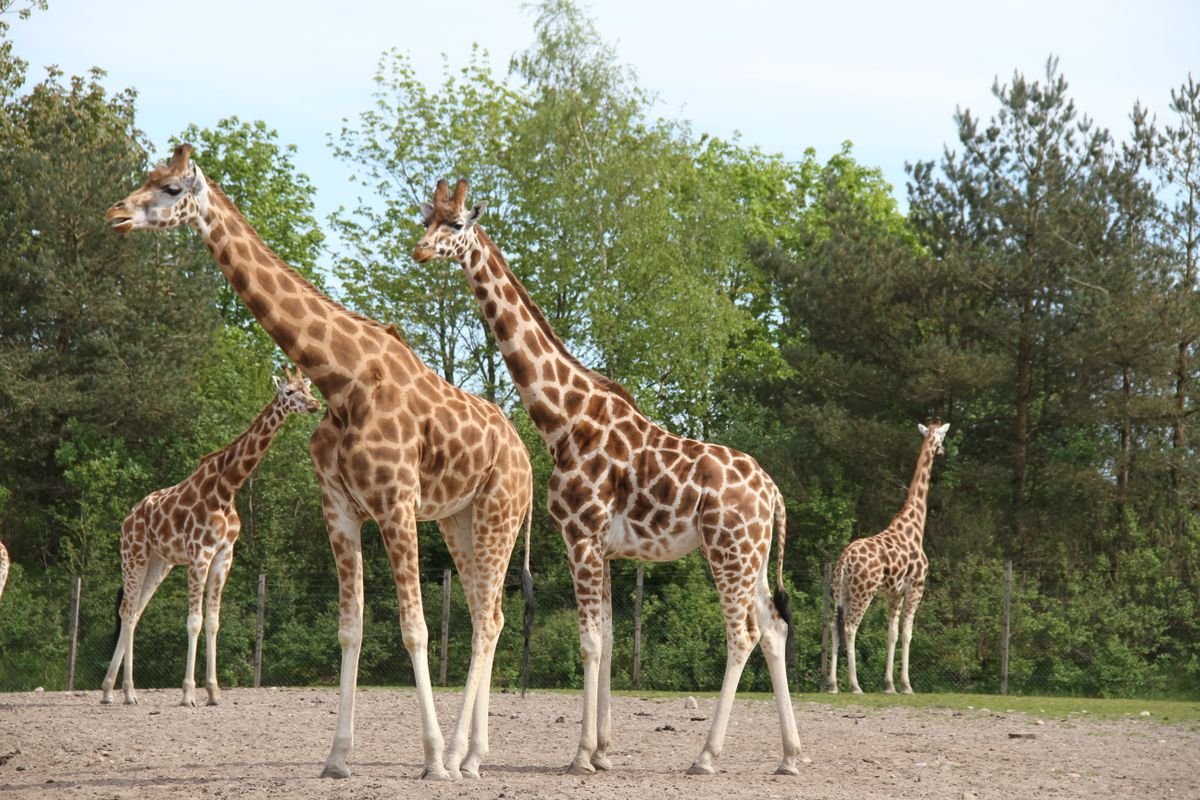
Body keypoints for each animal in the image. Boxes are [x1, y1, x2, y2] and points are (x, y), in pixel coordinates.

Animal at [100, 368, 321, 707]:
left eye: (307, 389)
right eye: (288, 392)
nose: (314, 405)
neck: (228, 488)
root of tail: (129, 516)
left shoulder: (223, 555)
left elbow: (214, 621)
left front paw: (214, 693)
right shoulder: (199, 554)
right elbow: (194, 620)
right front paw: (188, 694)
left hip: (159, 562)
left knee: (135, 612)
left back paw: (119, 691)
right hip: (133, 554)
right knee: (126, 610)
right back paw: (122, 691)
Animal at [414, 179, 802, 777]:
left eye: (456, 225)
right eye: (427, 218)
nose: (420, 251)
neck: (563, 419)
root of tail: (773, 492)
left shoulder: (580, 534)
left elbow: (590, 643)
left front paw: (580, 756)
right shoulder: (605, 545)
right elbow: (612, 642)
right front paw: (602, 752)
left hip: (726, 549)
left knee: (743, 634)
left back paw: (706, 757)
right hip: (752, 554)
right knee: (775, 629)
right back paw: (789, 757)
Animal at [826, 419, 951, 695]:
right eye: (942, 437)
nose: (942, 451)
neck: (915, 525)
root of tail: (844, 562)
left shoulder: (894, 593)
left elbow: (891, 633)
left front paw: (889, 685)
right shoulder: (916, 587)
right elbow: (907, 633)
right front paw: (906, 685)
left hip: (841, 591)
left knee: (834, 626)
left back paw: (832, 685)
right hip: (864, 591)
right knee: (850, 626)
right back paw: (855, 685)